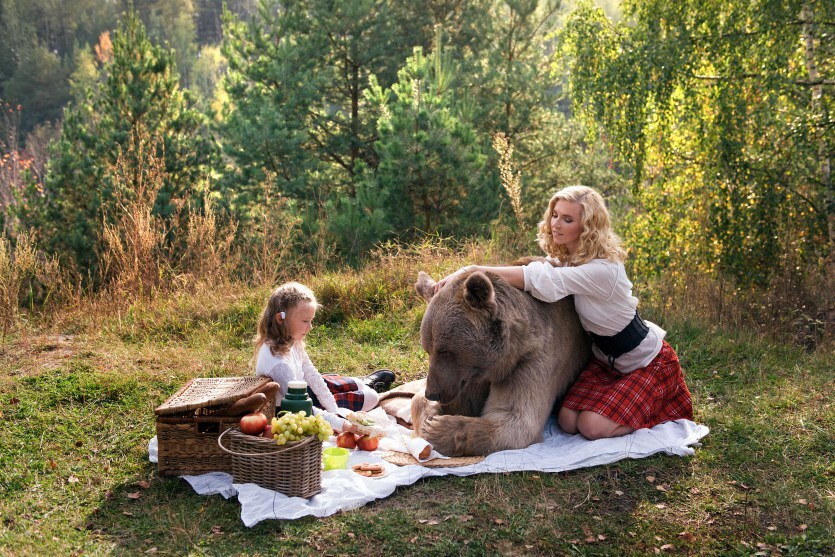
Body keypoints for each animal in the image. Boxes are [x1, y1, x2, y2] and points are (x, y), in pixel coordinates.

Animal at [414, 268, 596, 456]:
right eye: (428, 349)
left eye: (445, 351)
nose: (433, 393)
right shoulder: (468, 379)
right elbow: (425, 399)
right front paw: (429, 417)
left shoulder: (531, 361)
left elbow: (515, 417)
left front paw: (438, 428)